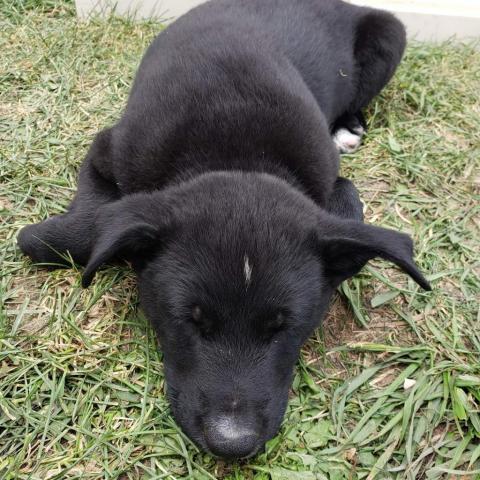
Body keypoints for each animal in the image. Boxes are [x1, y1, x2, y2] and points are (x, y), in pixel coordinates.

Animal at [18, 0, 432, 460]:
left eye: (284, 326)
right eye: (191, 321)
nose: (232, 445)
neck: (236, 154)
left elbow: (350, 200)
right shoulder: (108, 148)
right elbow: (90, 221)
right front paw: (46, 237)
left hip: (390, 35)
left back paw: (349, 126)